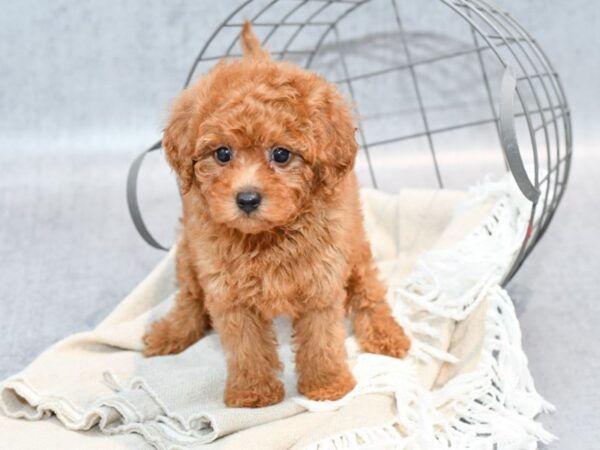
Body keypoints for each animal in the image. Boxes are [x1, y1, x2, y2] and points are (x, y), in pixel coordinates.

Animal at [143, 22, 410, 408]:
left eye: (282, 154)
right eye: (222, 153)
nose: (247, 198)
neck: (267, 237)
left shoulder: (321, 278)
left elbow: (321, 339)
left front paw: (328, 385)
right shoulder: (227, 288)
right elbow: (247, 346)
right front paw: (253, 393)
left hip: (355, 243)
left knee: (368, 288)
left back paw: (387, 334)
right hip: (189, 254)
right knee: (190, 296)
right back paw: (170, 332)